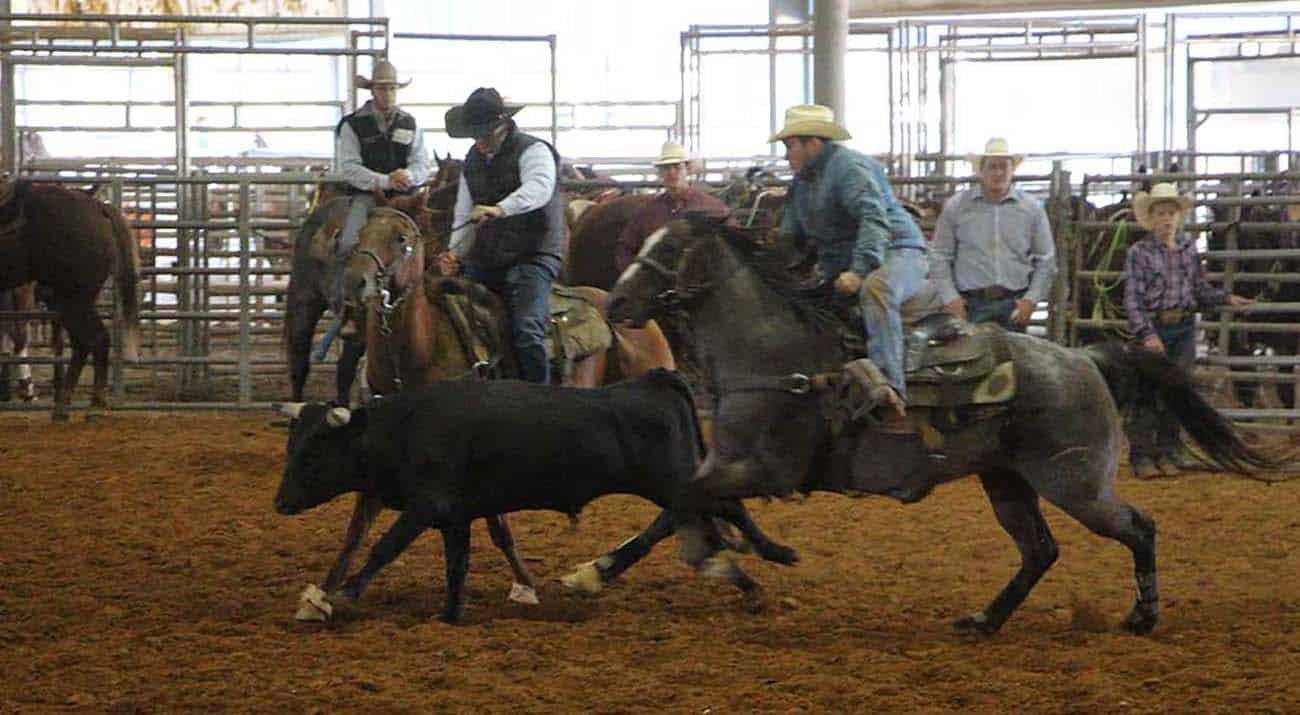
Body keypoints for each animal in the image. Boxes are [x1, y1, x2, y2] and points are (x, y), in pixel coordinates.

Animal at [0, 182, 139, 423]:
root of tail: (97, 207)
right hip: (68, 299)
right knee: (84, 342)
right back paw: (63, 406)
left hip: (73, 297)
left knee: (95, 338)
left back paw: (94, 406)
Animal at [603, 215, 1274, 637]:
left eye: (669, 251)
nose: (615, 302)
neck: (772, 355)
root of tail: (1085, 359)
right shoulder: (728, 463)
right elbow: (679, 505)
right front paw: (612, 569)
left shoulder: (764, 468)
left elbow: (685, 503)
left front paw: (716, 561)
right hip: (1006, 481)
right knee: (1040, 550)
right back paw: (985, 620)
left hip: (1075, 483)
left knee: (1138, 528)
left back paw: (1142, 617)